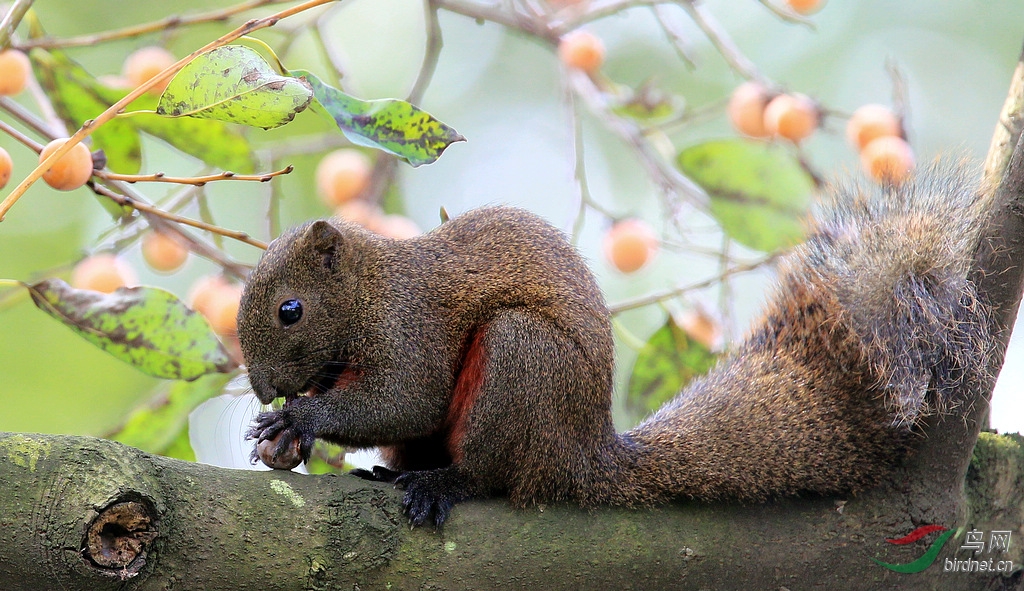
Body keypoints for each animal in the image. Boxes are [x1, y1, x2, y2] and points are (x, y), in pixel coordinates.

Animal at [237, 161, 991, 524]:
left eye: (290, 310)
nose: (265, 387)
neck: (368, 291)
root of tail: (585, 456)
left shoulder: (410, 328)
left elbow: (406, 399)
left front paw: (297, 418)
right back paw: (391, 474)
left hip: (520, 362)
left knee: (492, 471)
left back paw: (443, 482)